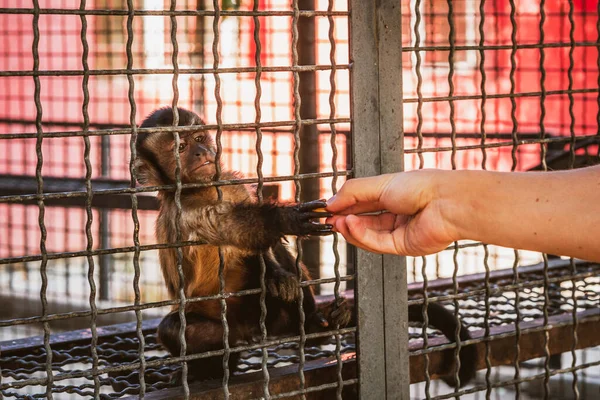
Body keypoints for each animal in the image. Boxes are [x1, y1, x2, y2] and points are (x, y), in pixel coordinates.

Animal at [136, 106, 352, 382]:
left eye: (199, 138)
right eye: (181, 147)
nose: (201, 151)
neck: (203, 189)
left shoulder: (232, 184)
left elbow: (261, 249)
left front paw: (276, 275)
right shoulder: (183, 213)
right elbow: (230, 227)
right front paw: (284, 219)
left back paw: (313, 324)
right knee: (174, 329)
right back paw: (212, 366)